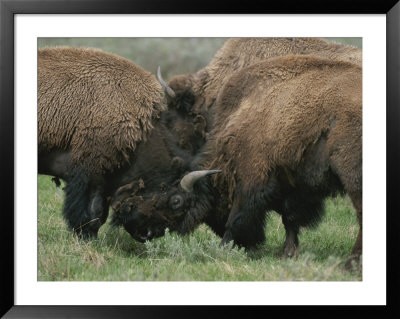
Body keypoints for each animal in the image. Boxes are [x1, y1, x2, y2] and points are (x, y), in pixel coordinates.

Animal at [111, 55, 362, 270]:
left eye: (176, 201)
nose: (137, 228)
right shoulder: (292, 185)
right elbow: (290, 220)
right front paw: (287, 254)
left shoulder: (251, 180)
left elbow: (237, 218)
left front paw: (222, 248)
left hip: (353, 178)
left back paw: (349, 265)